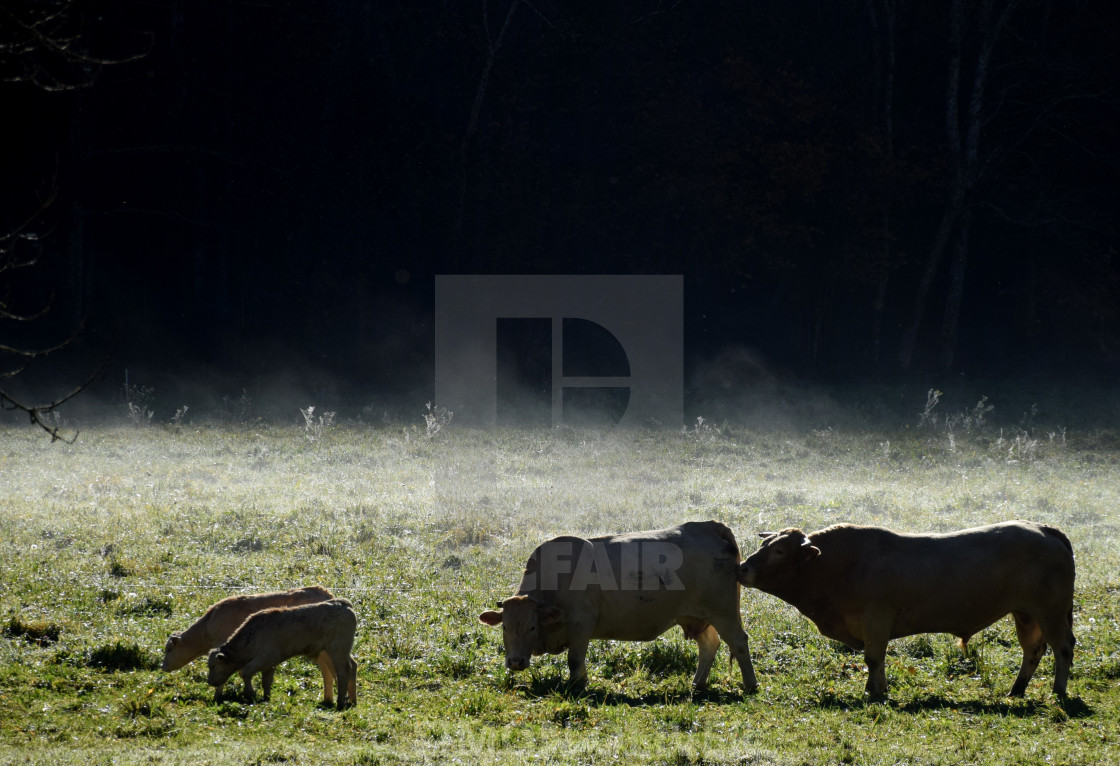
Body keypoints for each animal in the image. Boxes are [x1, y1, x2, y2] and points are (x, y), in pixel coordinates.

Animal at [206, 595, 353, 707]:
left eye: (213, 666)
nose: (209, 682)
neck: (253, 635)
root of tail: (343, 603)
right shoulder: (269, 664)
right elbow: (266, 682)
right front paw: (265, 698)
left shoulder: (266, 658)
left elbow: (246, 672)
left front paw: (250, 693)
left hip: (338, 651)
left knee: (342, 672)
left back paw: (341, 703)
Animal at [477, 519, 757, 694]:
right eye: (505, 627)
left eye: (532, 627)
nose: (515, 662)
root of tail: (710, 527)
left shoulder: (581, 623)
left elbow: (574, 659)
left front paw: (577, 686)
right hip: (697, 617)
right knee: (709, 646)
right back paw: (697, 684)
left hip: (724, 612)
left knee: (739, 642)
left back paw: (750, 684)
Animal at [734, 524, 1075, 698]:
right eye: (764, 545)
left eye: (779, 551)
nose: (742, 568)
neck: (843, 565)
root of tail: (1043, 530)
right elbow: (877, 660)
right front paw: (877, 689)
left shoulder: (876, 621)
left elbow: (874, 659)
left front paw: (875, 693)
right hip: (1026, 614)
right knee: (1033, 650)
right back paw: (1016, 690)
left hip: (1052, 612)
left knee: (1062, 647)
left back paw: (1058, 690)